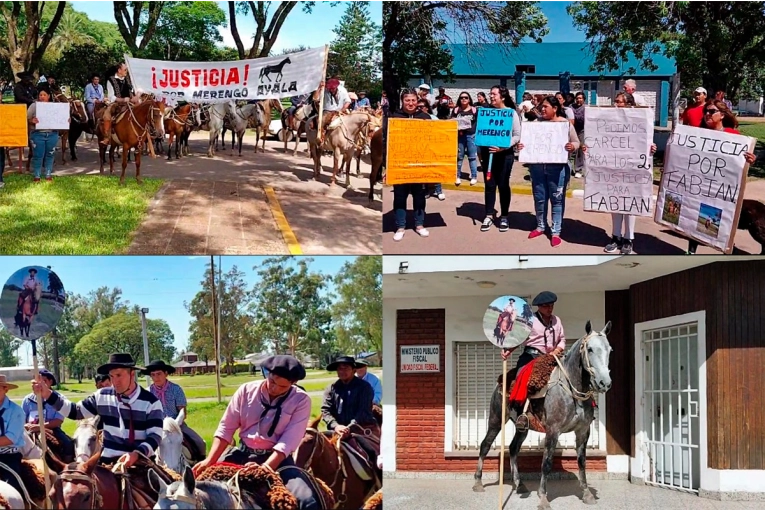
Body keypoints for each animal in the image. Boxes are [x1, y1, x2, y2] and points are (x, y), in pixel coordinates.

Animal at [474, 320, 612, 508]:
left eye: (609, 349)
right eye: (589, 349)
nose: (604, 383)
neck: (570, 389)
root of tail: (501, 380)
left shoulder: (583, 431)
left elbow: (582, 462)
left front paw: (587, 494)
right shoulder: (553, 431)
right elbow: (546, 463)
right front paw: (543, 498)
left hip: (522, 427)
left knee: (513, 448)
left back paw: (520, 484)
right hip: (496, 420)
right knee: (485, 445)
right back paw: (478, 482)